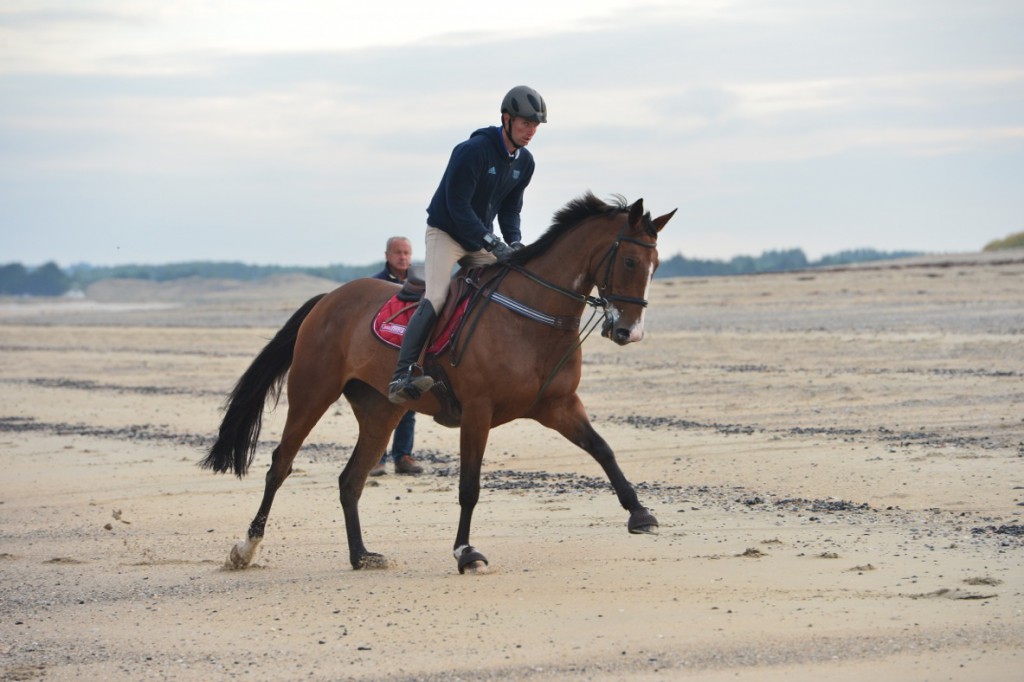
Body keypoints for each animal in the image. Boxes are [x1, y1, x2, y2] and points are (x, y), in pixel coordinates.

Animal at [202, 192, 675, 573]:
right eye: (629, 260)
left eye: (655, 266)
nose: (629, 332)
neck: (533, 314)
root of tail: (328, 299)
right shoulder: (478, 411)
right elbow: (469, 486)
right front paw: (466, 553)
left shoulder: (558, 406)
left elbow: (603, 450)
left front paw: (639, 513)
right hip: (312, 393)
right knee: (280, 466)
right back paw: (246, 548)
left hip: (381, 411)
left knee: (350, 480)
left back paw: (361, 555)